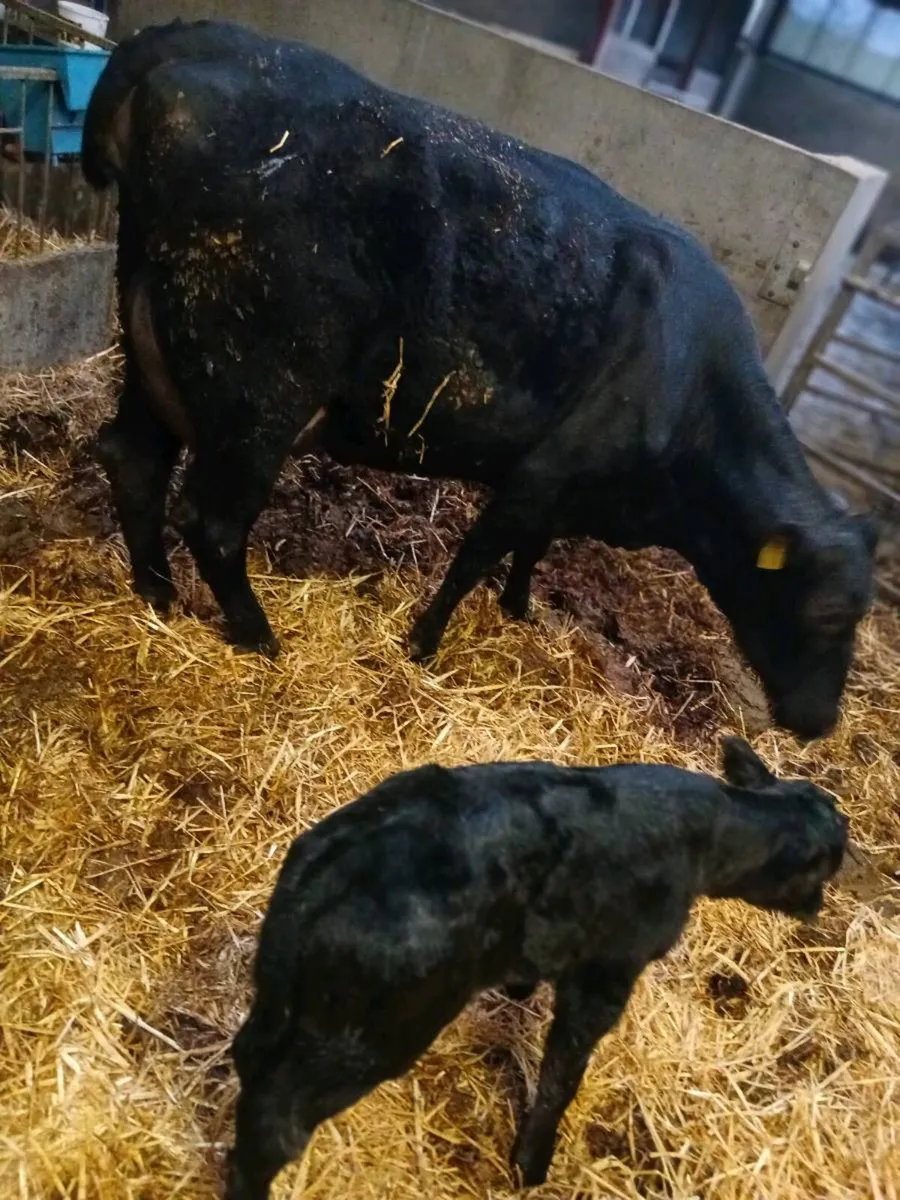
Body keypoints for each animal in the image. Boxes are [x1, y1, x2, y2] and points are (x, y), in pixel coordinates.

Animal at [81, 19, 878, 740]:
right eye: (828, 611)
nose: (819, 722)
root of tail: (194, 36)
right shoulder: (543, 470)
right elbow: (476, 558)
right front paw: (423, 645)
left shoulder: (566, 486)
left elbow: (533, 549)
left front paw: (520, 609)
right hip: (260, 392)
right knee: (212, 522)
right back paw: (260, 638)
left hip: (154, 345)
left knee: (135, 461)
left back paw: (157, 597)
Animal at [226, 736, 848, 1198]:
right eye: (825, 866)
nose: (817, 907)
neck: (711, 840)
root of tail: (334, 866)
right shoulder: (608, 971)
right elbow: (562, 1074)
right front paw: (532, 1160)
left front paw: (520, 986)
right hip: (372, 1033)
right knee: (274, 1124)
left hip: (285, 995)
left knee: (248, 1054)